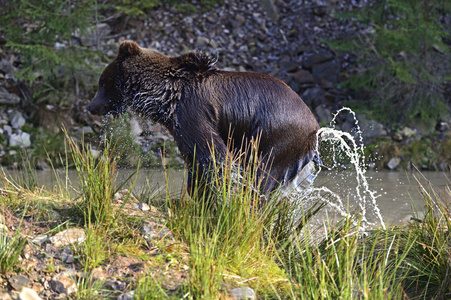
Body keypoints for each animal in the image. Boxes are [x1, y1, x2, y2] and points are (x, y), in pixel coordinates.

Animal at [87, 41, 322, 196]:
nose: (90, 106)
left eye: (102, 81)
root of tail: (315, 126)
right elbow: (195, 160)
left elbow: (211, 154)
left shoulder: (192, 112)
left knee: (263, 174)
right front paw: (197, 191)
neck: (164, 97)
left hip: (278, 135)